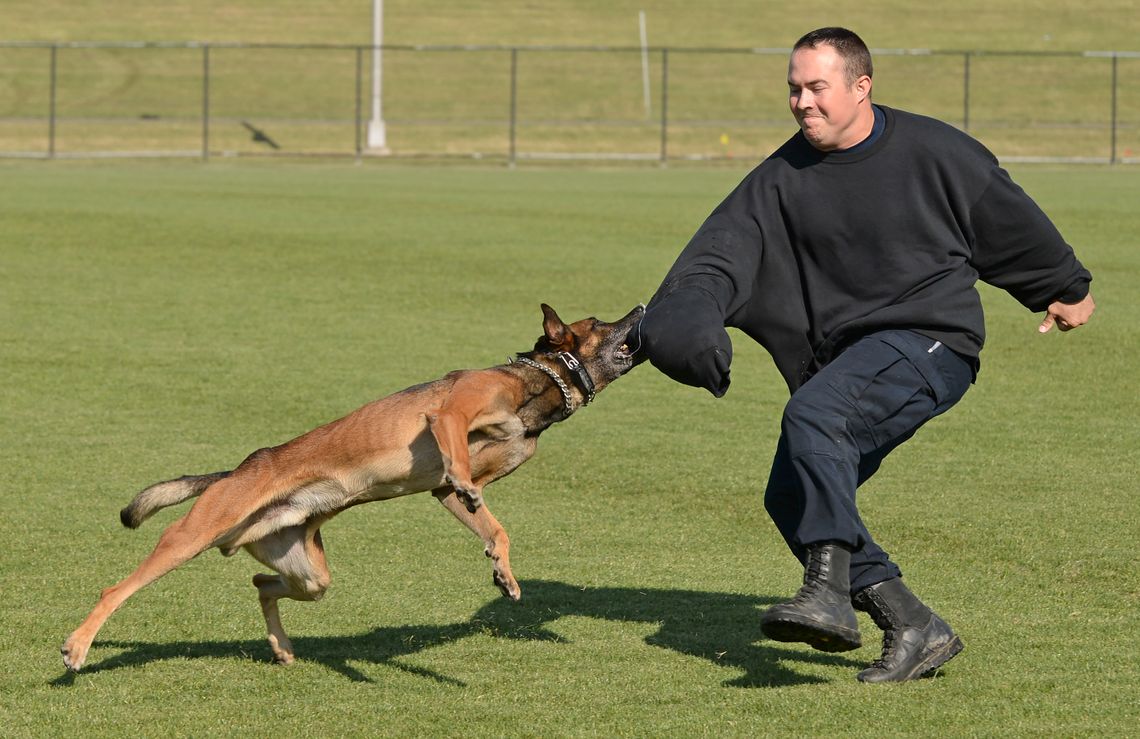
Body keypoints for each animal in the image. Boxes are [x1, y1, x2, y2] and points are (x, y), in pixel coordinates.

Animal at [62, 303, 647, 670]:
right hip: (193, 536)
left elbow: (492, 526)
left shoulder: (453, 490)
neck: (539, 382)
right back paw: (77, 647)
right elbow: (459, 464)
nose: (643, 309)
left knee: (261, 584)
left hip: (306, 571)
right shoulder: (450, 414)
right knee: (116, 590)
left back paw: (282, 648)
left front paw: (504, 574)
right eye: (600, 321)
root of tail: (236, 472)